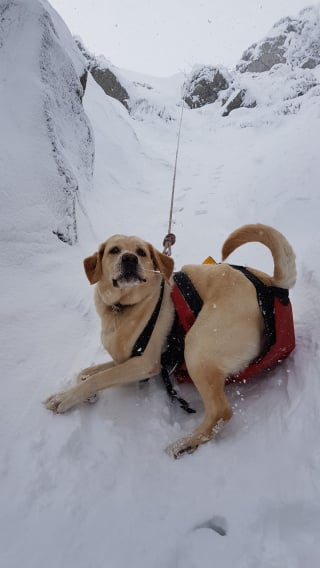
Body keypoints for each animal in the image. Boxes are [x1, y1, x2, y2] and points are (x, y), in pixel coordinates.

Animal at [45, 223, 296, 458]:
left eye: (141, 252)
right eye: (114, 250)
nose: (129, 258)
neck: (124, 308)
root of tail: (270, 284)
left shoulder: (144, 364)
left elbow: (98, 378)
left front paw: (64, 399)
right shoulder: (123, 359)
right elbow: (86, 373)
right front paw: (81, 394)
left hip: (198, 345)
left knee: (221, 412)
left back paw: (184, 444)